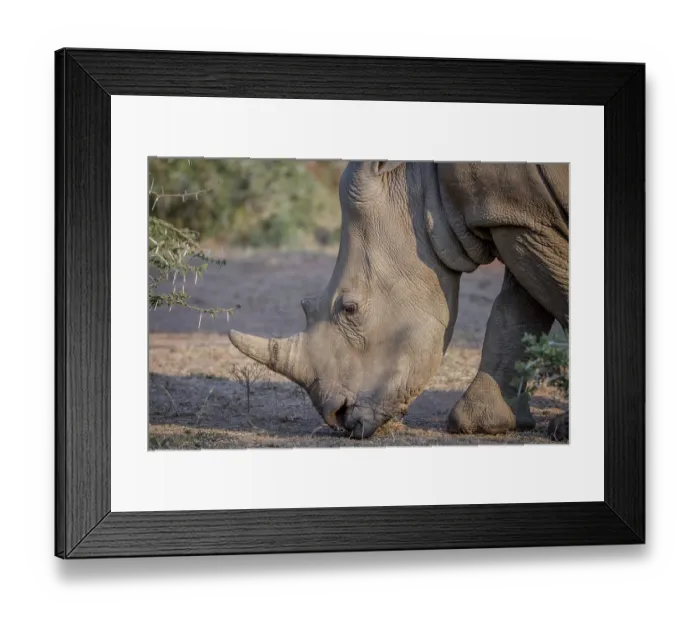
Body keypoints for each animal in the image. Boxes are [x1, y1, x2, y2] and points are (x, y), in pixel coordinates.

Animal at [229, 161, 569, 440]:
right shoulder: (516, 217)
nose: (339, 417)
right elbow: (516, 310)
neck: (422, 194)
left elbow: (555, 294)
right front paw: (486, 422)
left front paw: (562, 429)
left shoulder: (521, 217)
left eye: (350, 309)